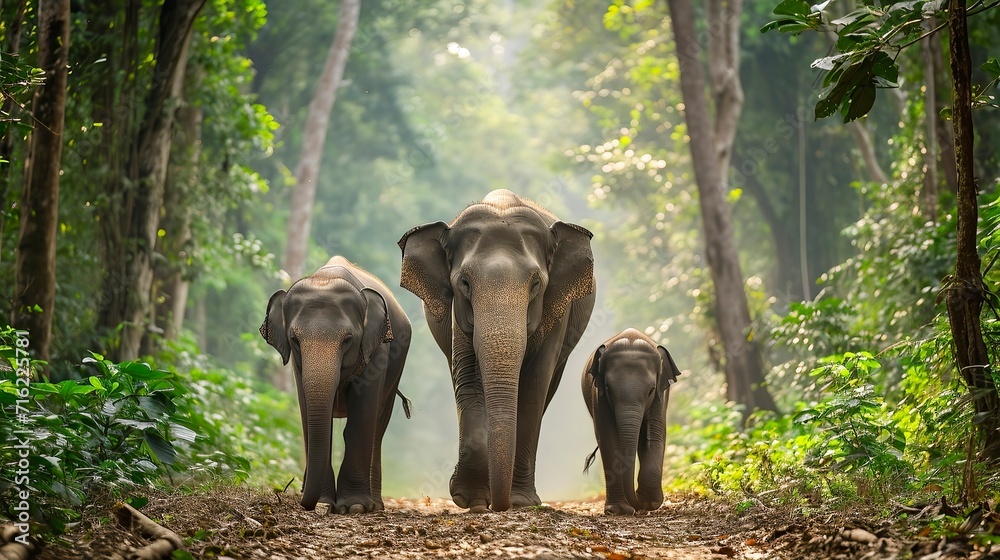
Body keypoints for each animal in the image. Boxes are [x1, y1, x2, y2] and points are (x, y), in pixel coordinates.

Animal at [259, 256, 411, 514]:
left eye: (348, 339)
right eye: (294, 339)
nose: (304, 499)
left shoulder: (378, 349)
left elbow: (361, 418)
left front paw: (354, 506)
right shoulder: (297, 366)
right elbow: (311, 417)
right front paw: (324, 503)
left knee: (379, 426)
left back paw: (375, 505)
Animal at [398, 189, 596, 512]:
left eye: (536, 284)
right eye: (464, 282)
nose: (498, 505)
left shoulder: (558, 309)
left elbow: (533, 388)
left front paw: (520, 501)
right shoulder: (457, 313)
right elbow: (467, 378)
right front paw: (471, 500)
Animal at [581, 328, 682, 515]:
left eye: (651, 390)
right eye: (608, 389)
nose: (639, 502)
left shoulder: (661, 396)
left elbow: (654, 436)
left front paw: (650, 501)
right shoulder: (598, 396)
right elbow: (608, 438)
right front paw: (619, 510)